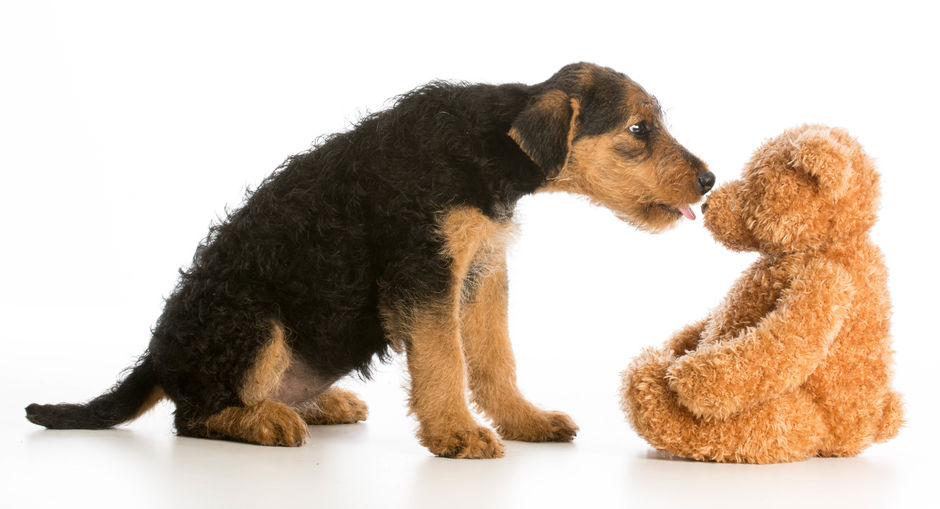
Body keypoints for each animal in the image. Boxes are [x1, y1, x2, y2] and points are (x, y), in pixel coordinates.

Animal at [27, 61, 712, 458]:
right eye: (640, 129)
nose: (708, 181)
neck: (489, 143)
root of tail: (158, 356)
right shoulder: (424, 270)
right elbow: (443, 359)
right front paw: (456, 433)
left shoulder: (481, 271)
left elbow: (495, 358)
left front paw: (526, 421)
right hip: (250, 318)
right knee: (195, 413)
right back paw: (266, 422)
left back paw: (318, 403)